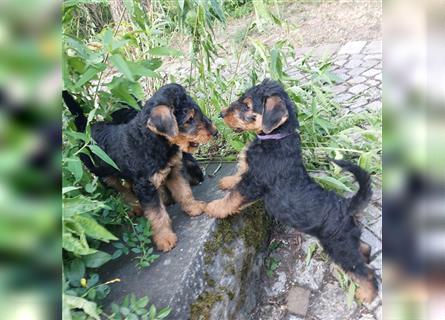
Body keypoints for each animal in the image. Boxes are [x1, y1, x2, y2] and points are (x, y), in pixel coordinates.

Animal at [62, 84, 217, 252]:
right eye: (189, 119)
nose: (215, 132)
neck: (150, 140)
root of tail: (85, 130)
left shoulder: (173, 171)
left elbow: (184, 192)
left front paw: (194, 207)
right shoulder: (145, 187)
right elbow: (157, 214)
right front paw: (165, 238)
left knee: (129, 185)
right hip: (106, 176)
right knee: (122, 191)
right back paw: (136, 207)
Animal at [204, 79, 374, 302]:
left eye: (247, 106)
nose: (221, 114)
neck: (276, 138)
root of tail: (346, 205)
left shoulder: (253, 184)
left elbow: (232, 198)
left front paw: (213, 207)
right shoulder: (250, 175)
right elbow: (238, 177)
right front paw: (226, 181)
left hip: (339, 247)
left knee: (364, 272)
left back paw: (366, 295)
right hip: (346, 241)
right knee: (363, 248)